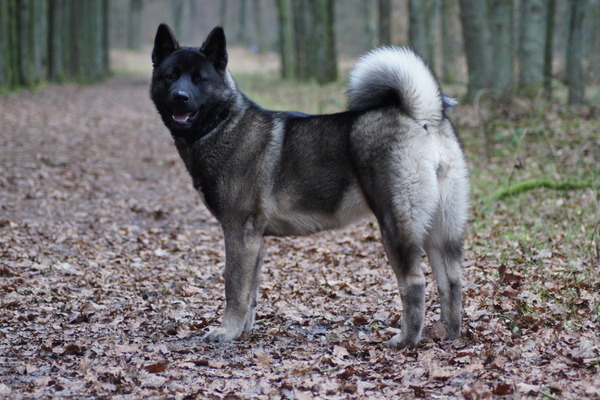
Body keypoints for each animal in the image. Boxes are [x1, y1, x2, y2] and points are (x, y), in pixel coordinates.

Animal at [149, 25, 468, 348]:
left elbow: (234, 287)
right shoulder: (255, 239)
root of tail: (421, 115)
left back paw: (405, 340)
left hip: (396, 225)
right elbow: (251, 292)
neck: (223, 123)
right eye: (171, 76)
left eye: (199, 79)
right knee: (451, 280)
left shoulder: (239, 231)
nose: (180, 97)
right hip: (438, 230)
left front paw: (226, 331)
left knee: (414, 282)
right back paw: (449, 334)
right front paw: (243, 331)